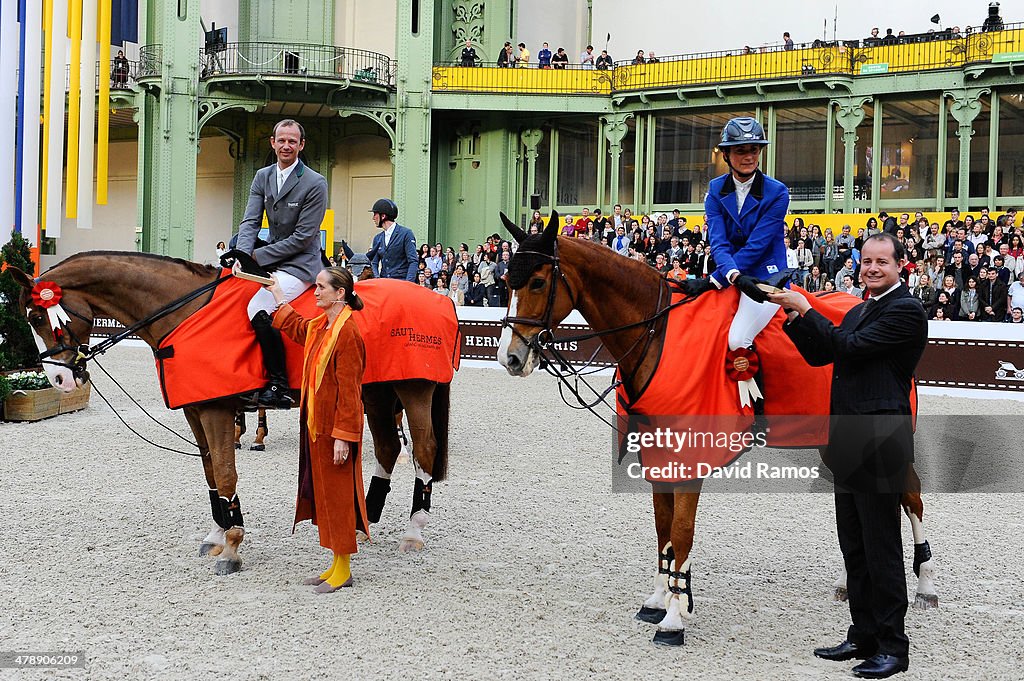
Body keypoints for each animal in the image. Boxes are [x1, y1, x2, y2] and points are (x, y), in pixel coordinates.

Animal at [6, 250, 448, 573]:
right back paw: (366, 515)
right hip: (374, 393)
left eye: (36, 316)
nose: (59, 380)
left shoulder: (217, 410)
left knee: (423, 450)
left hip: (413, 389)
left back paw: (414, 532)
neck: (183, 313)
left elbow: (224, 469)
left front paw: (233, 546)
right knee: (389, 446)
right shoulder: (196, 411)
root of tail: (437, 298)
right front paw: (218, 535)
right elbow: (210, 472)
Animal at [495, 210, 937, 643]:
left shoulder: (690, 453)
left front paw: (674, 617)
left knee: (910, 495)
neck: (657, 332)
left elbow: (681, 529)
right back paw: (850, 582)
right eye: (506, 282)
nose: (509, 358)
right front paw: (659, 598)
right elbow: (663, 526)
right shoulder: (658, 452)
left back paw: (926, 585)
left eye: (537, 281)